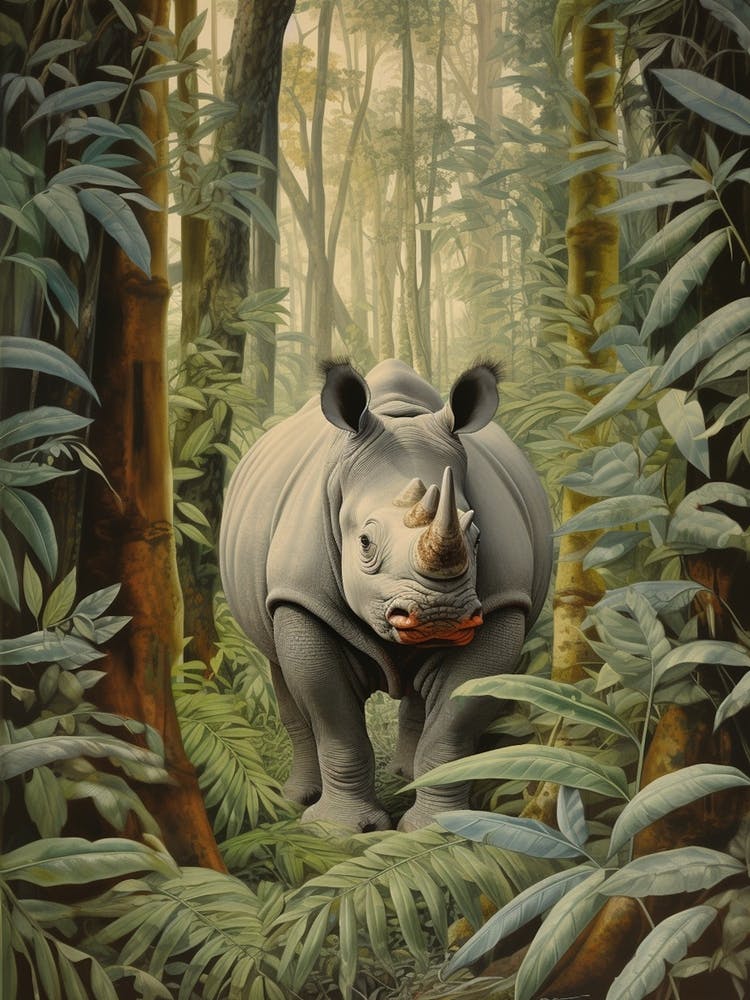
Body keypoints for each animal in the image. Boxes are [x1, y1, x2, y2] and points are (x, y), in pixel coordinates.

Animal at [220, 359, 552, 831]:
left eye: (477, 535)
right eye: (364, 542)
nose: (438, 613)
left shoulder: (502, 603)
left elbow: (454, 723)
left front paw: (436, 828)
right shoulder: (301, 599)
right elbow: (334, 720)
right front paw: (339, 830)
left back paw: (404, 779)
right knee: (280, 669)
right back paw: (296, 800)